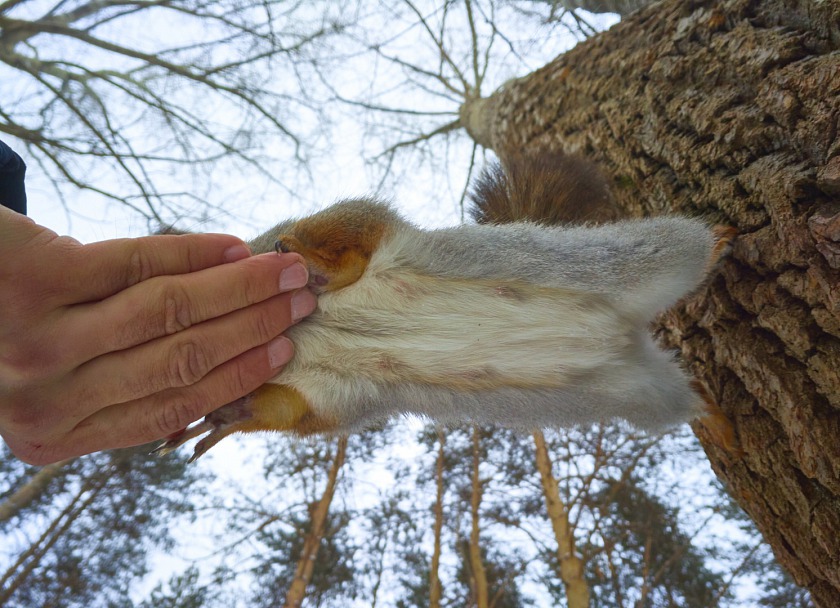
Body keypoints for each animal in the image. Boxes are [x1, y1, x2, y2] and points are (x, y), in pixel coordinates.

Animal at [156, 152, 736, 460]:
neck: (296, 336)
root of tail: (624, 333)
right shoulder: (320, 389)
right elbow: (296, 409)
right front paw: (229, 415)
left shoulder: (360, 230)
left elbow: (347, 233)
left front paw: (309, 264)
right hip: (644, 395)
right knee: (681, 400)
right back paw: (716, 419)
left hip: (640, 259)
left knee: (684, 247)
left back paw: (722, 239)